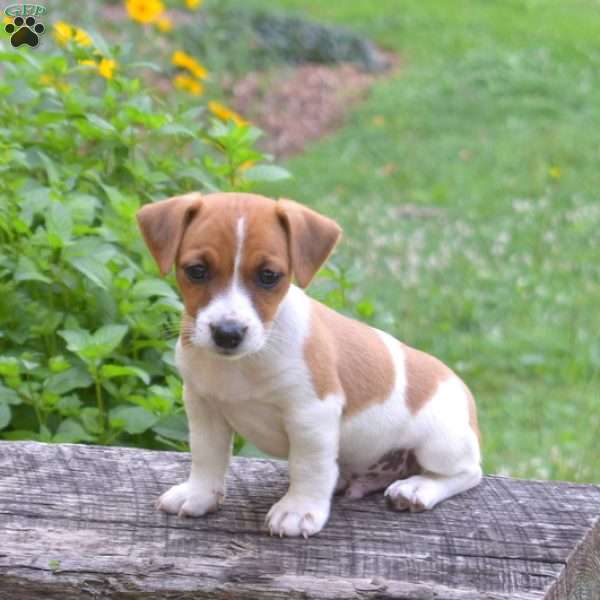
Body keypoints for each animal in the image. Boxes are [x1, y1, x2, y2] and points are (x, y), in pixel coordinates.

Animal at [137, 192, 482, 540]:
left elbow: (308, 466)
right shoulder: (203, 406)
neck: (245, 363)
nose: (227, 333)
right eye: (196, 270)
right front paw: (198, 494)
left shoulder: (311, 413)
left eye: (268, 276)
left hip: (441, 445)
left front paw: (298, 509)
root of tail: (462, 389)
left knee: (468, 473)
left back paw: (416, 489)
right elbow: (206, 455)